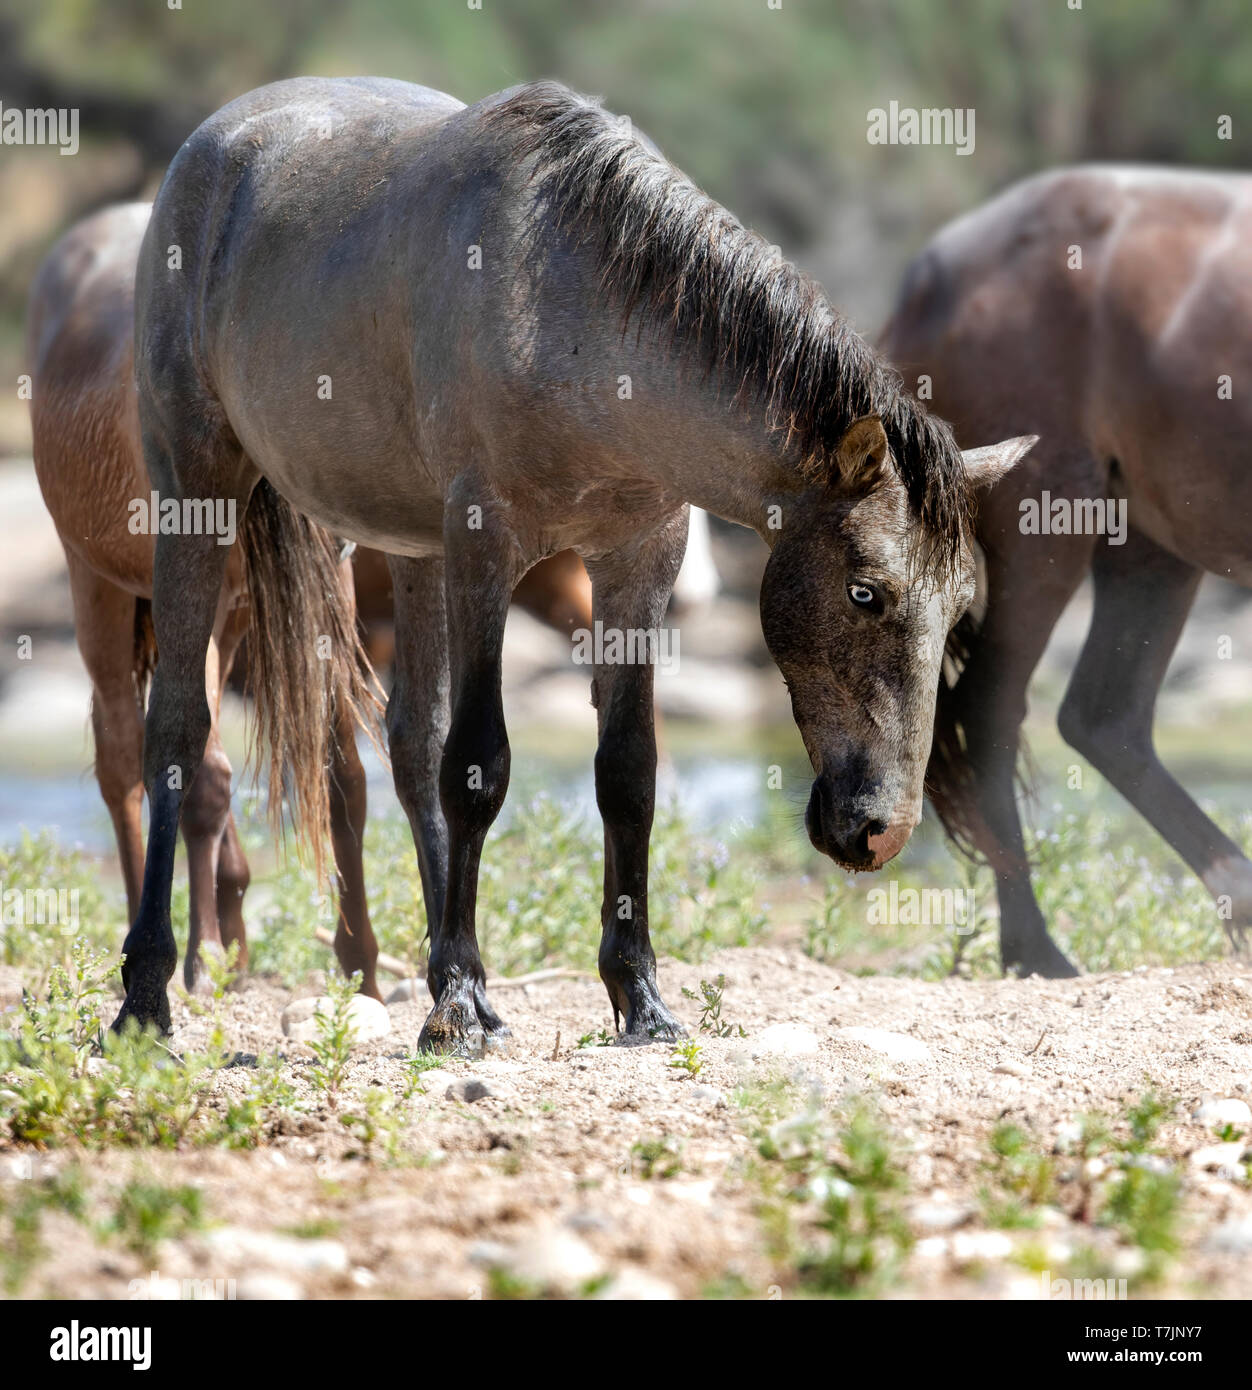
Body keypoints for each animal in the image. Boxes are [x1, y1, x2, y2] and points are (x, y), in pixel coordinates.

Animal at [878, 165, 1250, 978]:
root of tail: (928, 276)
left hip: (1149, 550)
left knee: (1104, 718)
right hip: (1048, 527)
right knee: (992, 708)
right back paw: (1036, 949)